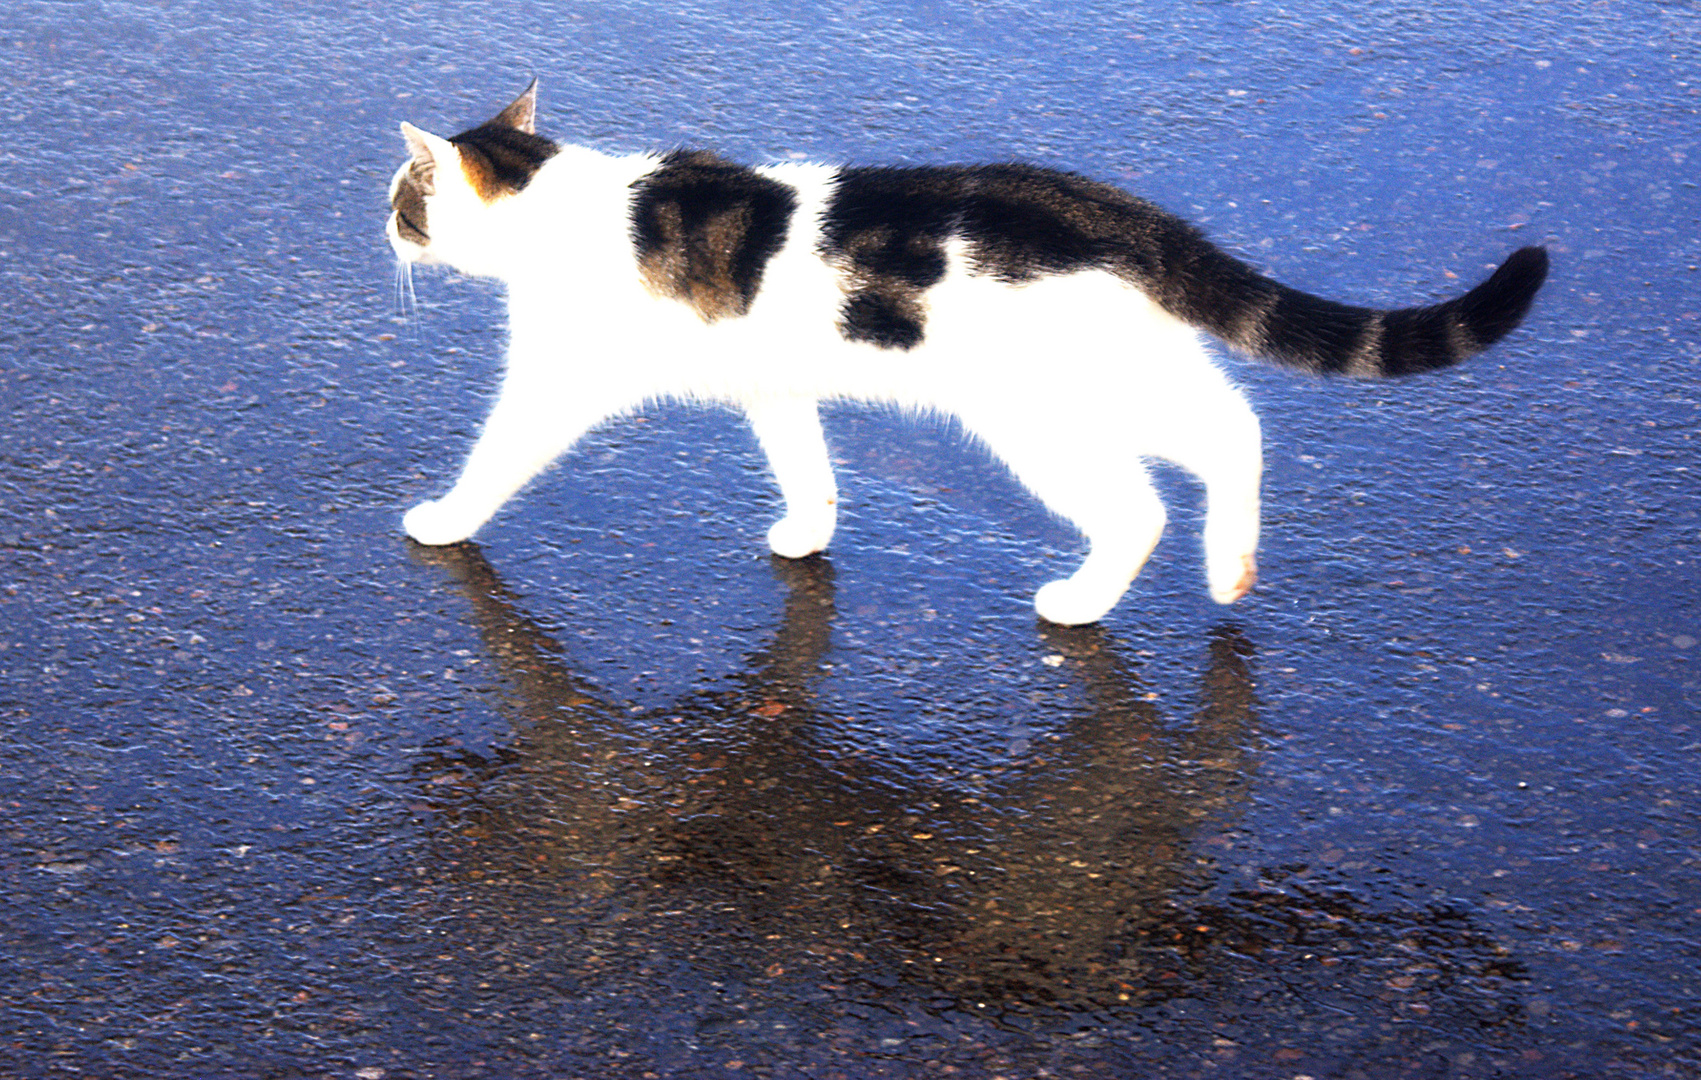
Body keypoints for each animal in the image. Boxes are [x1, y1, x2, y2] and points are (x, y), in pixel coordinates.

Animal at [389, 82, 1558, 625]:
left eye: (404, 199)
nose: (377, 224)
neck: (559, 205)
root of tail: (1120, 214)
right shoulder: (774, 380)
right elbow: (807, 467)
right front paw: (808, 533)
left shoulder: (555, 383)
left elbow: (496, 457)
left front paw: (443, 520)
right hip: (1138, 379)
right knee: (1238, 431)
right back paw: (1231, 565)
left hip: (1038, 420)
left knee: (1140, 507)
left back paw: (1084, 600)